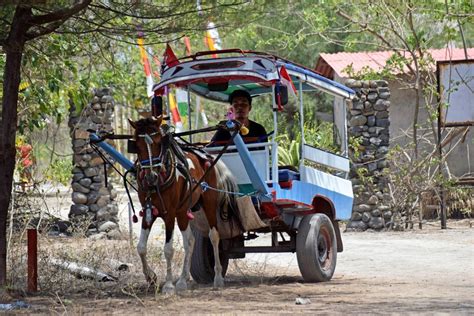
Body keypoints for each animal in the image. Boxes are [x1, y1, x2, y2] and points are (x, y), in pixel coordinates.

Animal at [129, 116, 237, 294]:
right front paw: (151, 278)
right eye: (136, 146)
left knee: (214, 236)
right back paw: (182, 280)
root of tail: (207, 156)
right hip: (182, 211)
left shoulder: (169, 214)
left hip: (208, 203)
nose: (151, 176)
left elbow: (168, 250)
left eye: (158, 143)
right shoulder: (148, 212)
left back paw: (217, 278)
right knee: (190, 241)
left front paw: (168, 285)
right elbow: (141, 247)